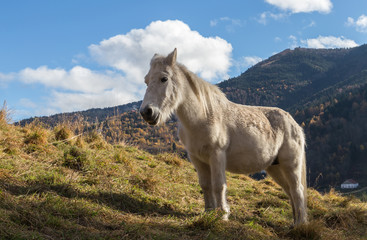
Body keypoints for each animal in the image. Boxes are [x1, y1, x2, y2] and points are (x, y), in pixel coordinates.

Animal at [140, 48, 308, 225]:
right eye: (146, 81)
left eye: (164, 78)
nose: (146, 112)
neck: (202, 117)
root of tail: (295, 125)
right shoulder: (197, 159)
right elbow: (205, 185)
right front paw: (208, 212)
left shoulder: (217, 155)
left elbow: (218, 185)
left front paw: (222, 214)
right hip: (274, 167)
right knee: (289, 191)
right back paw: (294, 222)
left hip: (290, 164)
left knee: (297, 190)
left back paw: (300, 224)